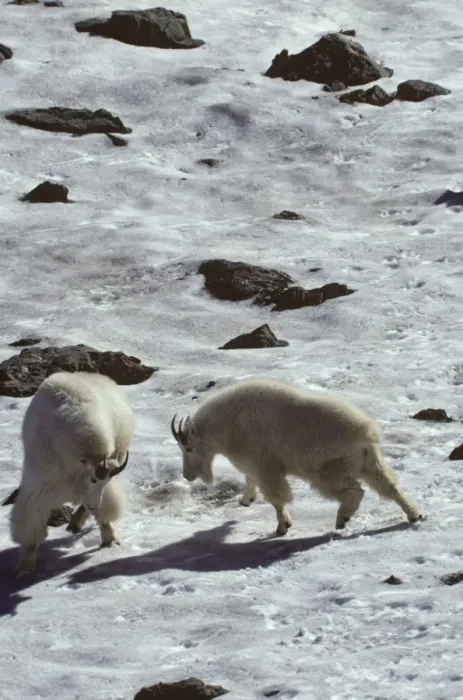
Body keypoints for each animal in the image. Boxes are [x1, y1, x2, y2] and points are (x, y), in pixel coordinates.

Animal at [2, 371, 134, 575]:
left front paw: (110, 539)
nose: (95, 507)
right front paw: (25, 568)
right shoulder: (39, 485)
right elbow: (32, 525)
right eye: (93, 480)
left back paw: (77, 522)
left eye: (103, 482)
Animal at [171, 378, 422, 536]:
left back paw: (342, 518)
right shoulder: (255, 464)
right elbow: (250, 479)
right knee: (390, 486)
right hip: (369, 462)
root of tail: (366, 432)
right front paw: (246, 500)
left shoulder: (265, 466)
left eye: (189, 448)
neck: (227, 424)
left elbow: (276, 497)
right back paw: (414, 515)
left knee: (354, 491)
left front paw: (282, 527)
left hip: (324, 469)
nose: (188, 475)